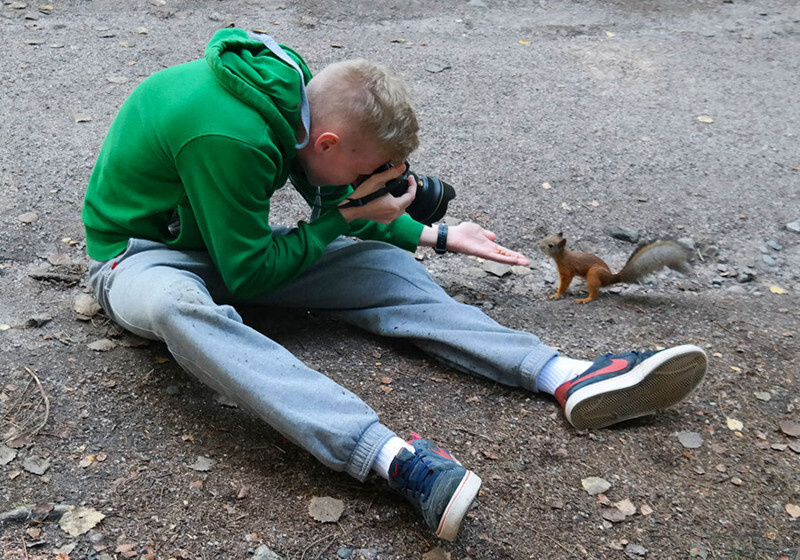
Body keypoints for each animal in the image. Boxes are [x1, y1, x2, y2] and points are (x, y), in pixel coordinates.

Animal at [540, 231, 692, 304]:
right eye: (546, 237)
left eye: (550, 245)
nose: (539, 245)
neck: (563, 256)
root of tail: (611, 278)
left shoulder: (567, 270)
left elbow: (564, 284)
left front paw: (557, 294)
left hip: (594, 273)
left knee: (596, 294)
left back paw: (586, 299)